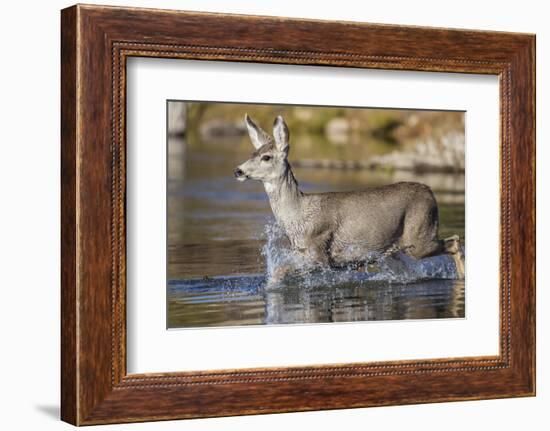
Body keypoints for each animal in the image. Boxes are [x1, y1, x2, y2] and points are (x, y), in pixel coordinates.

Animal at [233, 115, 466, 284]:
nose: (238, 171)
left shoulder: (318, 252)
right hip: (391, 252)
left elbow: (280, 270)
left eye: (266, 157)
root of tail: (430, 192)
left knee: (454, 241)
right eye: (253, 153)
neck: (297, 215)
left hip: (418, 237)